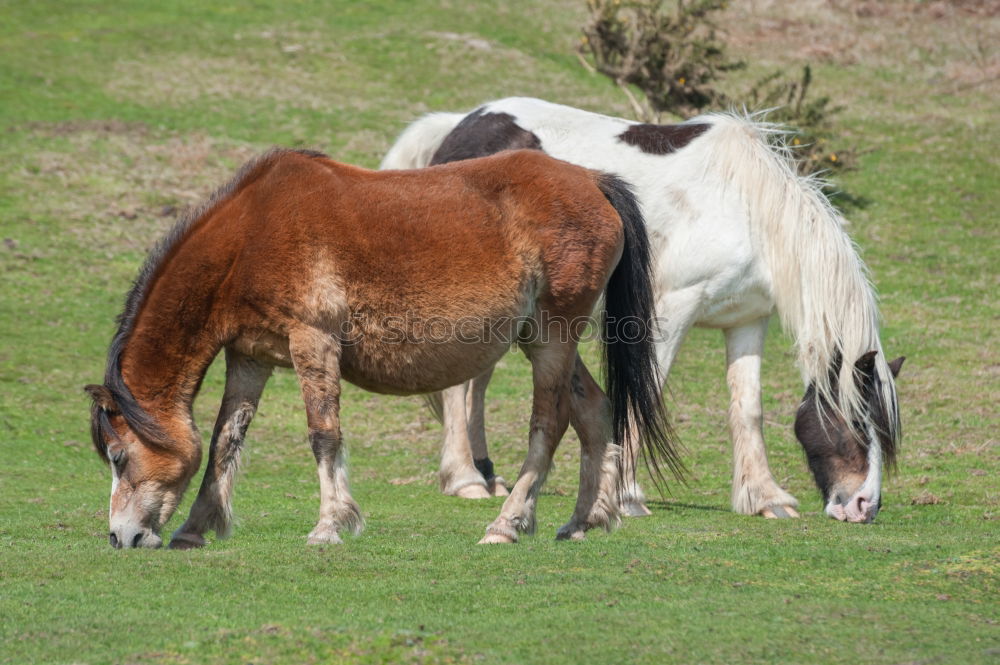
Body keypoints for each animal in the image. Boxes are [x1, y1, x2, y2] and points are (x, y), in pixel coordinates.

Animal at [88, 148, 680, 548]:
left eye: (118, 457)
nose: (120, 536)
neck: (251, 233)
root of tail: (592, 181)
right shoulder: (251, 356)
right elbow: (223, 440)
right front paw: (195, 528)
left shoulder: (313, 341)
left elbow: (323, 435)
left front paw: (330, 525)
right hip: (543, 338)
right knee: (593, 409)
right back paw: (584, 520)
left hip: (555, 335)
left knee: (550, 423)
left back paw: (507, 524)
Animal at [378, 97, 904, 524]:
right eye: (857, 421)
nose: (864, 506)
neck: (747, 208)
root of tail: (460, 127)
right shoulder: (671, 309)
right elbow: (643, 391)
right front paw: (625, 494)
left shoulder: (748, 320)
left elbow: (747, 408)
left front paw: (764, 497)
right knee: (459, 387)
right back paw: (465, 478)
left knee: (478, 381)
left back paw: (487, 476)